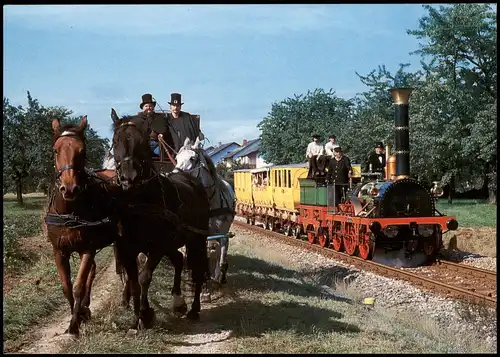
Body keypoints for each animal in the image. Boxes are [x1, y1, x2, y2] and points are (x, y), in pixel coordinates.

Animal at [44, 116, 121, 334]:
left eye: (83, 151)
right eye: (55, 150)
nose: (69, 188)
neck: (69, 212)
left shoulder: (87, 248)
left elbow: (78, 285)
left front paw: (74, 324)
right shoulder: (59, 251)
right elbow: (66, 287)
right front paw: (79, 314)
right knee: (93, 271)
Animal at [110, 111, 210, 326]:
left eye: (143, 142)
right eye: (115, 141)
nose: (129, 178)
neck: (139, 202)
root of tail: (192, 180)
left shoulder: (157, 247)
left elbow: (144, 277)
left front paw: (146, 314)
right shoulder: (128, 249)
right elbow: (133, 281)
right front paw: (136, 318)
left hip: (196, 239)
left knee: (198, 270)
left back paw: (194, 309)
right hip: (174, 242)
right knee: (179, 259)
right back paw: (178, 301)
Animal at [173, 136, 235, 290]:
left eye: (192, 158)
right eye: (176, 158)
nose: (173, 176)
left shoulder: (223, 234)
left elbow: (222, 256)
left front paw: (220, 276)